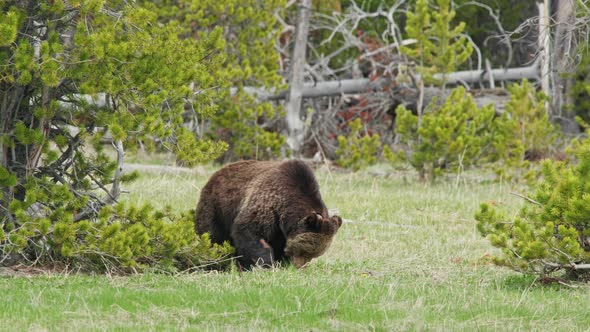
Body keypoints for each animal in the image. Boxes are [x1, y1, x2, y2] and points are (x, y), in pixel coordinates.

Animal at [195, 160, 342, 268]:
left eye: (313, 256)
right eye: (303, 251)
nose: (299, 266)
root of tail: (216, 173)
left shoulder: (281, 230)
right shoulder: (266, 205)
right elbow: (250, 232)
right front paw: (267, 264)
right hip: (216, 208)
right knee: (211, 235)